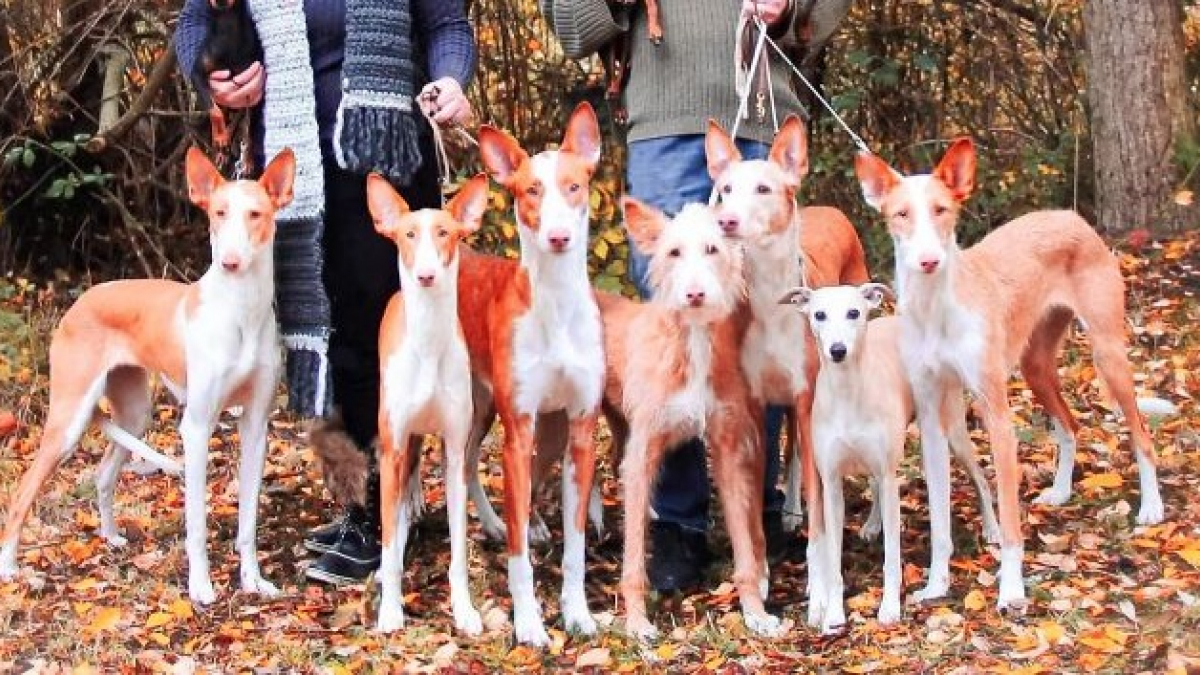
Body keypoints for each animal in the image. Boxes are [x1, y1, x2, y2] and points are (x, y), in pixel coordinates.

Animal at [0, 145, 295, 598]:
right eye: (219, 213)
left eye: (256, 215)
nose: (230, 262)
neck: (241, 309)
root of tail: (79, 301)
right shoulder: (197, 428)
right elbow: (196, 524)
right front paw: (201, 588)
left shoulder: (257, 426)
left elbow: (248, 522)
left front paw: (253, 581)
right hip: (69, 420)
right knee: (22, 492)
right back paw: (9, 567)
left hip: (135, 415)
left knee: (104, 474)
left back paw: (110, 536)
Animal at [369, 171, 492, 629]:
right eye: (408, 235)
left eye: (445, 233)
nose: (425, 276)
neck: (428, 342)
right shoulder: (393, 446)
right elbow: (389, 544)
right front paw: (390, 610)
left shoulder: (454, 449)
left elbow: (458, 548)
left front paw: (464, 609)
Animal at [859, 138, 1166, 610]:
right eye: (901, 214)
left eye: (942, 210)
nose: (928, 261)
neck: (936, 308)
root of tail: (1067, 214)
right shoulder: (932, 421)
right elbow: (940, 523)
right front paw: (936, 584)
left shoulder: (996, 414)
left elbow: (1008, 522)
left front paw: (1011, 590)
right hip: (1035, 366)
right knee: (1070, 425)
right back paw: (1061, 491)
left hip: (1108, 354)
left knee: (1140, 433)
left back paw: (1151, 506)